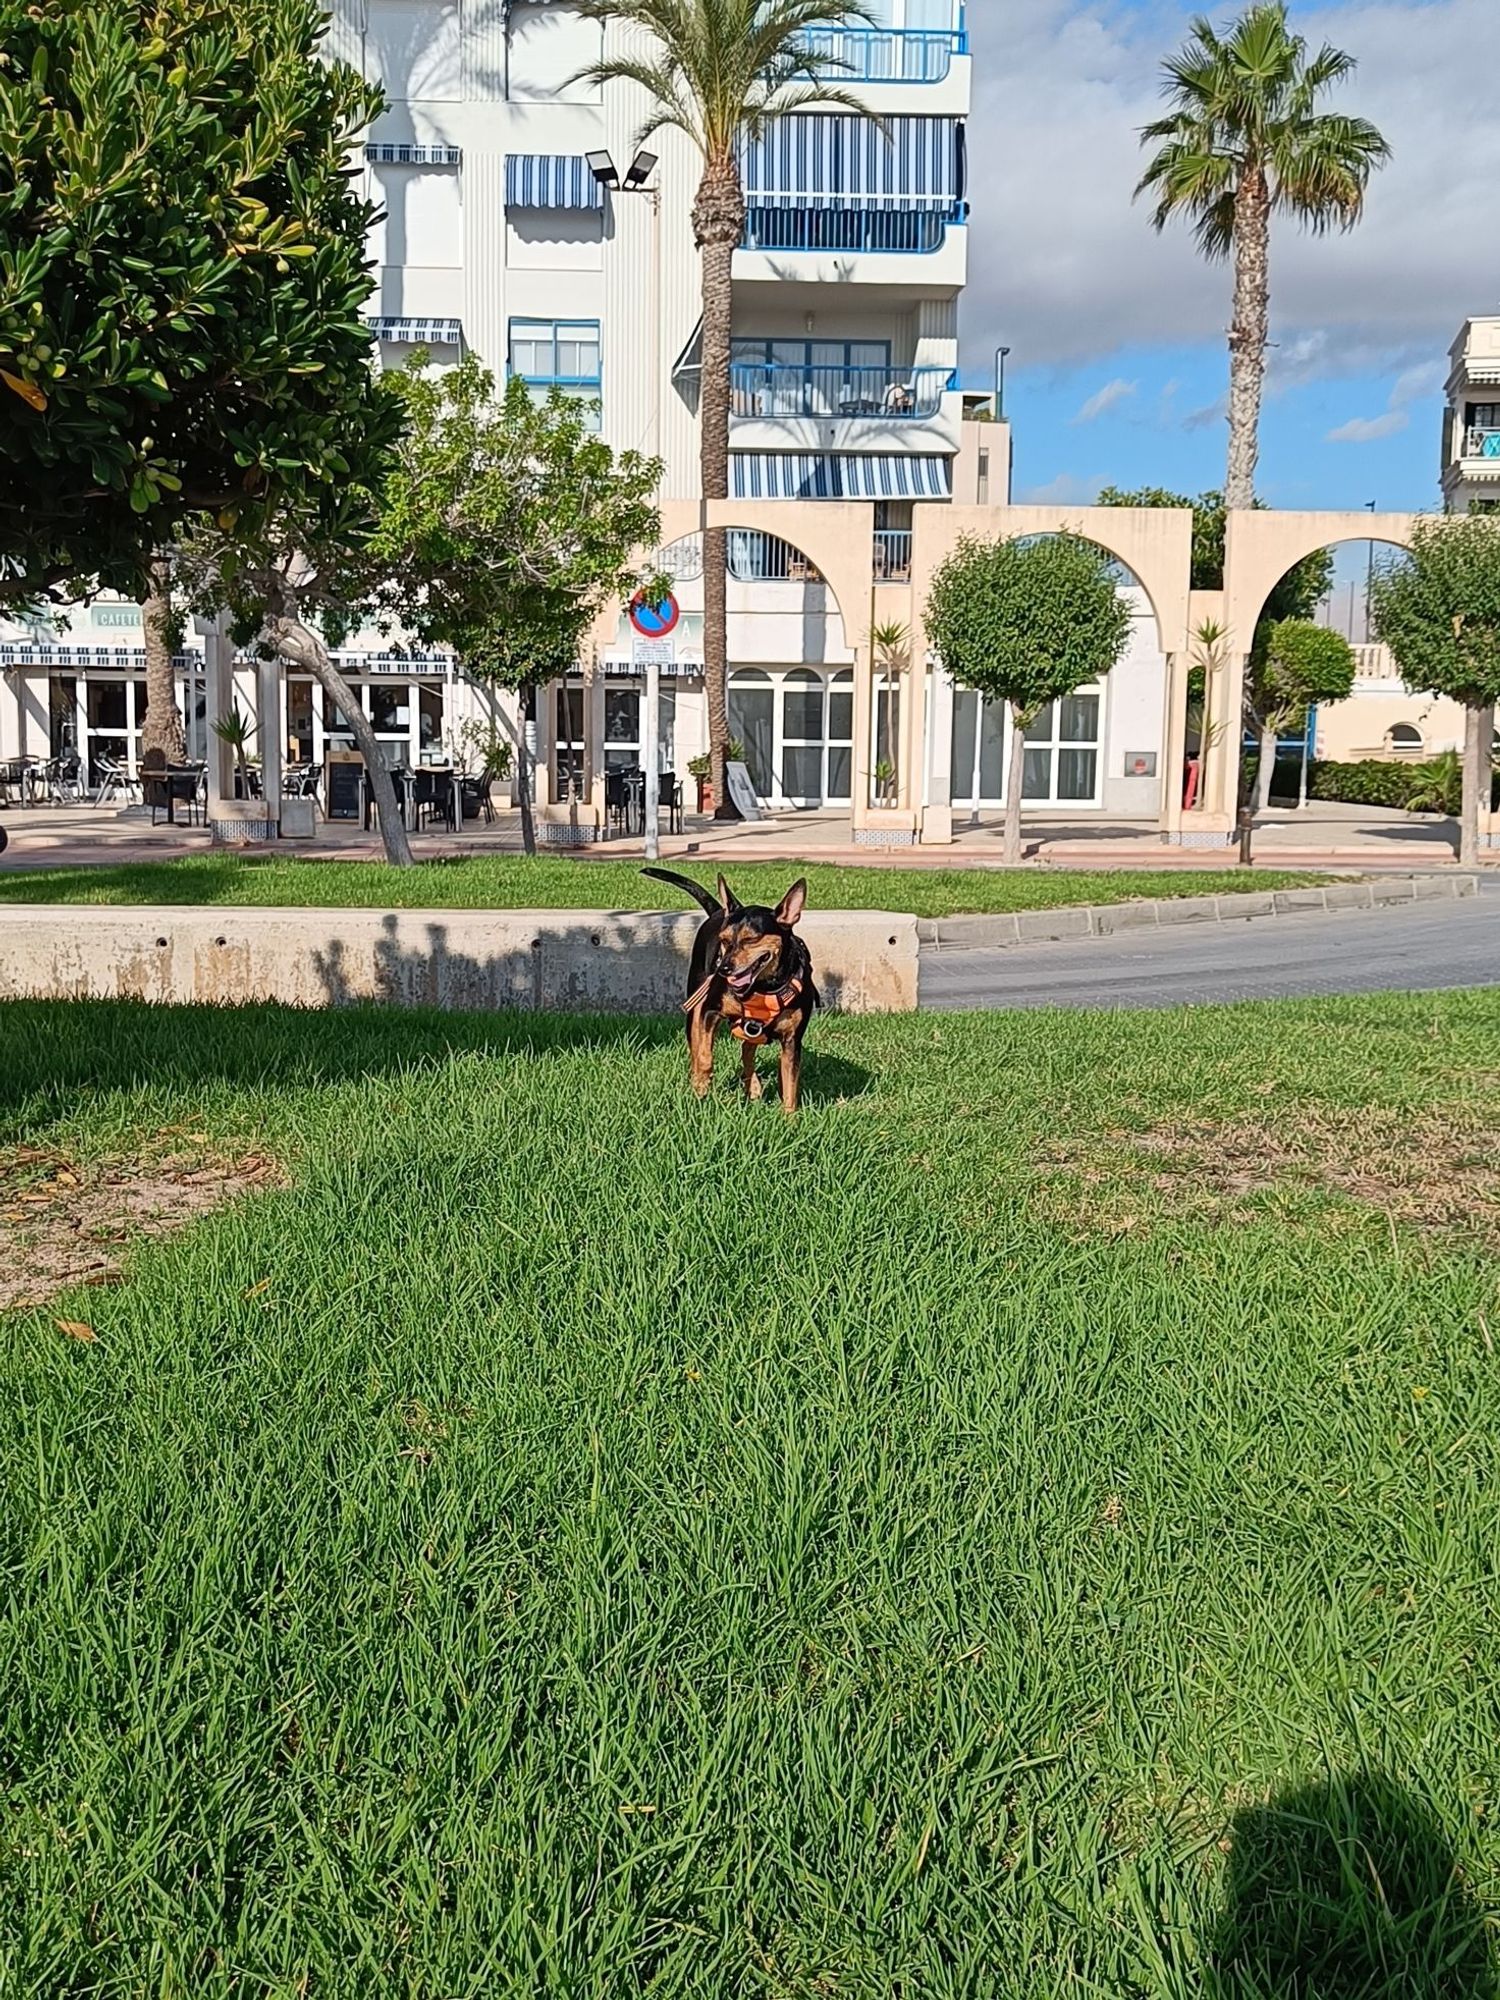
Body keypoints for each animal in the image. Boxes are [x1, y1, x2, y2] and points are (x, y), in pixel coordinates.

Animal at [640, 868, 816, 1120]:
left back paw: (752, 1085)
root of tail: (719, 911)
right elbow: (705, 1056)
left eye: (751, 939)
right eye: (723, 940)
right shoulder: (709, 1011)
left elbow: (790, 1082)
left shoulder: (792, 1039)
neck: (763, 987)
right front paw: (701, 1087)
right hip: (694, 1007)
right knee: (696, 1048)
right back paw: (698, 1080)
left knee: (747, 1050)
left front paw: (789, 1120)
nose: (723, 968)